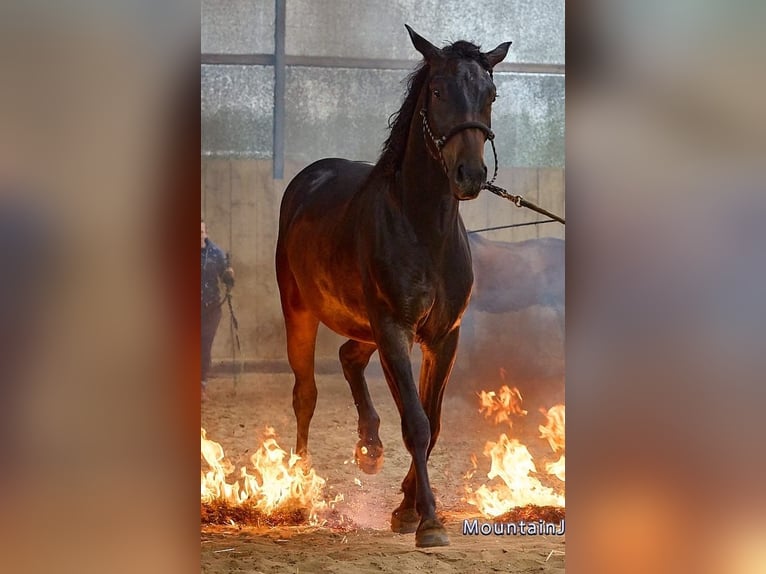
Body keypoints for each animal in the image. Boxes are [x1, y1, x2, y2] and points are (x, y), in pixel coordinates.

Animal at [276, 25, 511, 547]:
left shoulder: (442, 338)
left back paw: (369, 446)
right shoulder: (395, 331)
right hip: (303, 312)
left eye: (490, 94)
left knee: (348, 357)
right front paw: (427, 521)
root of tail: (308, 177)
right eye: (438, 90)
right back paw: (299, 485)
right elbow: (417, 424)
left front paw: (406, 507)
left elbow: (434, 421)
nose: (470, 175)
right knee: (305, 395)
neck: (424, 228)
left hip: (365, 328)